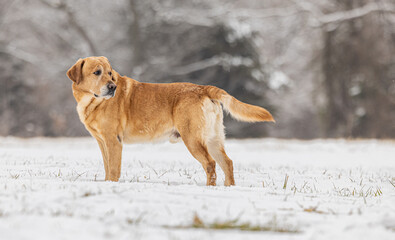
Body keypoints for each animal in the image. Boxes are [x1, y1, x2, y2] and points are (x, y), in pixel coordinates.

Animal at [66, 56, 276, 186]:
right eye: (97, 72)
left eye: (110, 73)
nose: (112, 87)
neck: (92, 101)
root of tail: (204, 88)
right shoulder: (102, 142)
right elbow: (107, 167)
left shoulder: (113, 141)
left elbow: (113, 169)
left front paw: (111, 184)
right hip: (213, 139)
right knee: (228, 163)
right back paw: (229, 187)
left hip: (192, 139)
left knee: (210, 164)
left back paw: (210, 187)